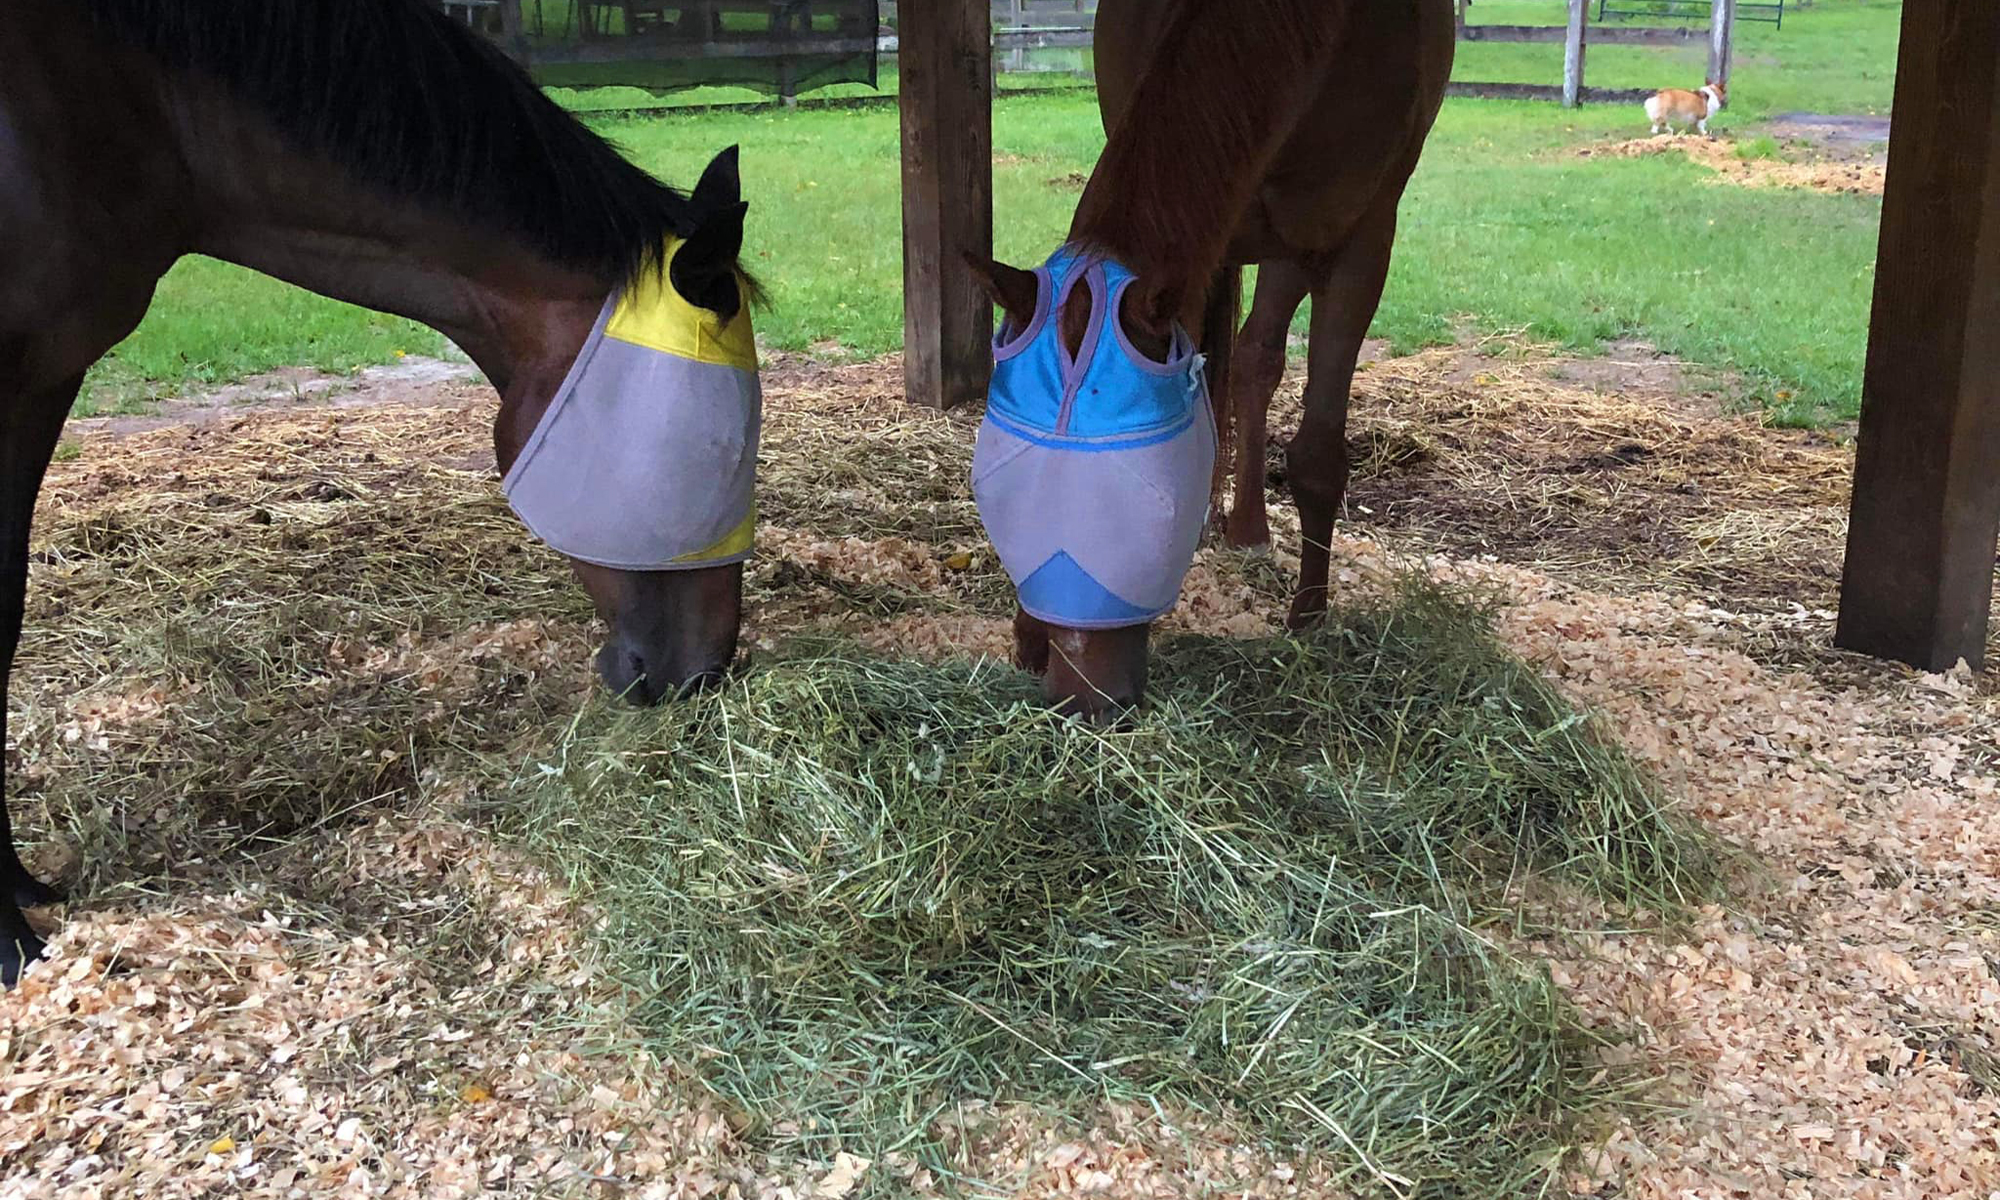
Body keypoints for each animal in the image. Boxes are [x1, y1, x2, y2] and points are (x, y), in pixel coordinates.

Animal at [968, 0, 1456, 716]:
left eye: (1146, 501)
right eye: (999, 484)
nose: (1082, 696)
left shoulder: (1358, 243)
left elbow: (1316, 452)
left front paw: (1309, 620)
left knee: (1258, 359)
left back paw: (1251, 533)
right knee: (1247, 360)